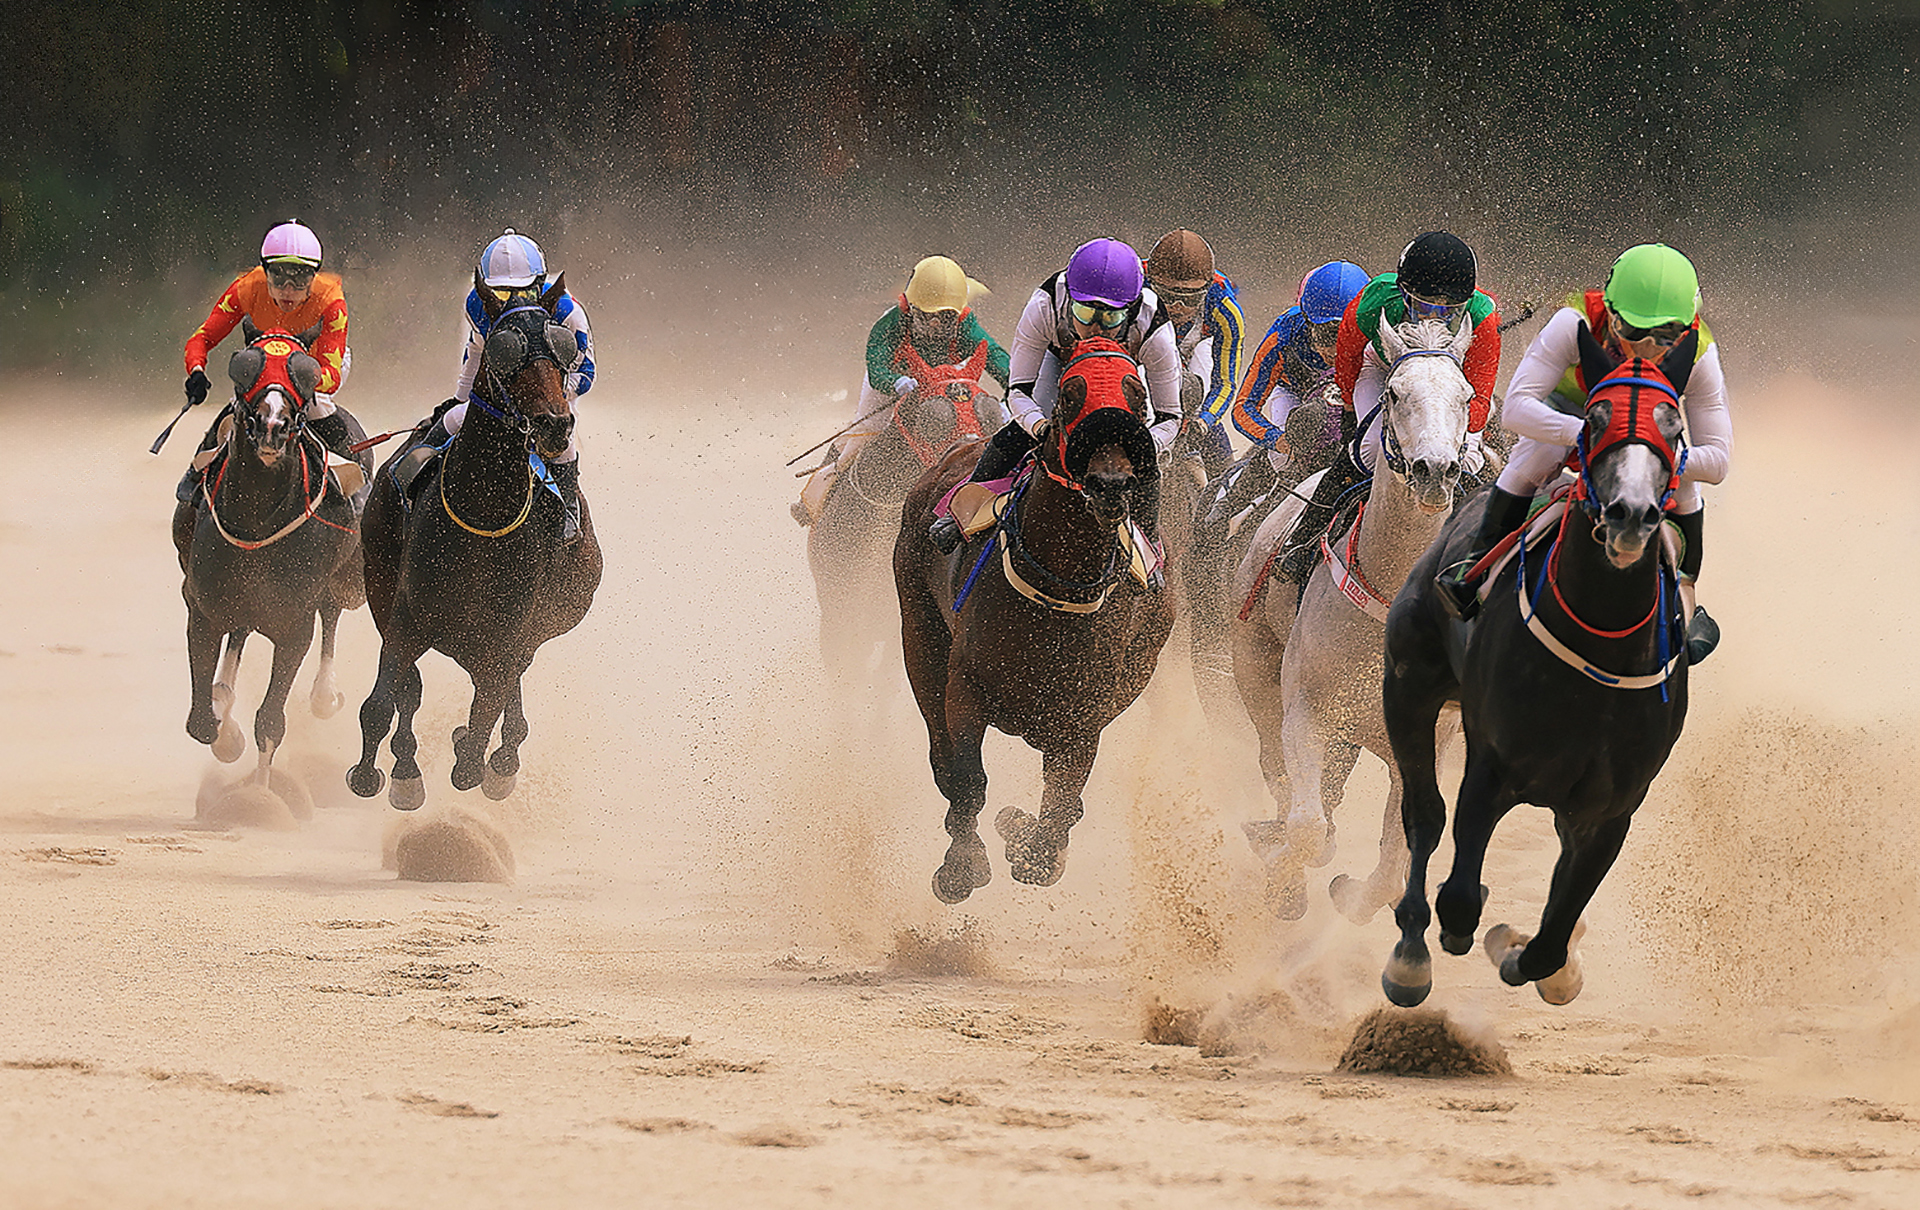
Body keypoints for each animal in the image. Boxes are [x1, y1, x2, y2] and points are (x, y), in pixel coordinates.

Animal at [178, 319, 366, 789]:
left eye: (306, 372)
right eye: (245, 368)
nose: (273, 425)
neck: (257, 519)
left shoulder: (294, 622)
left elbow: (270, 720)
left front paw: (261, 793)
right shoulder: (204, 607)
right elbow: (201, 721)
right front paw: (225, 729)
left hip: (343, 579)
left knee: (331, 611)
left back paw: (323, 693)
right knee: (240, 633)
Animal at [346, 273, 603, 811]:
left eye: (562, 345)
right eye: (505, 348)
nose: (554, 423)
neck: (483, 512)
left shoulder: (510, 627)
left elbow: (487, 706)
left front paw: (478, 756)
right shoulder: (405, 614)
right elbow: (386, 699)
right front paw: (382, 774)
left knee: (506, 685)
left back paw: (497, 756)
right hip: (383, 586)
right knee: (414, 688)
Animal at [894, 337, 1174, 904]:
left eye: (1137, 399)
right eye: (1068, 396)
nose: (1111, 485)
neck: (1057, 591)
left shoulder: (1085, 713)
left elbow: (1060, 805)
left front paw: (1033, 847)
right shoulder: (966, 685)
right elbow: (968, 779)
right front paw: (962, 865)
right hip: (919, 632)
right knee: (941, 752)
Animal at [1229, 316, 1479, 921]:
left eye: (1466, 396)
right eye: (1393, 393)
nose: (1435, 471)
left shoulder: (1424, 743)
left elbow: (1394, 861)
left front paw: (1352, 894)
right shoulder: (1308, 713)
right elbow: (1306, 828)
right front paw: (1285, 872)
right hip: (1253, 662)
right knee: (1277, 767)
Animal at [1379, 329, 1698, 1007]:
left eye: (1674, 425)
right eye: (1595, 420)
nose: (1631, 513)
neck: (1599, 657)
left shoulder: (1611, 809)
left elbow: (1550, 941)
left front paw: (1531, 951)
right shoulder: (1490, 768)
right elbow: (1459, 898)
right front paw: (1462, 936)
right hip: (1408, 688)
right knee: (1422, 815)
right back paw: (1410, 954)